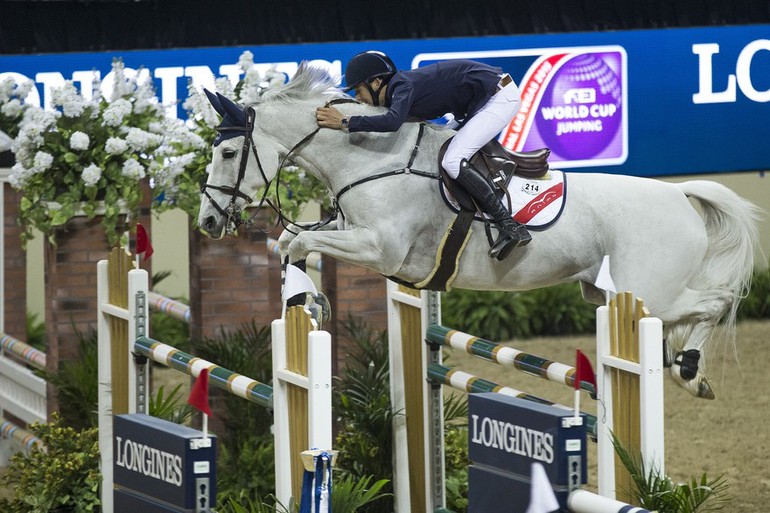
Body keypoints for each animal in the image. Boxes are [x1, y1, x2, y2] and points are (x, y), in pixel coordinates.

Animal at [198, 63, 760, 400]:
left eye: (227, 151)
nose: (207, 221)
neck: (372, 159)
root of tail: (679, 195)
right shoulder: (353, 231)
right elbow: (290, 243)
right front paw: (307, 301)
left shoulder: (382, 249)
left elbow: (301, 240)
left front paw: (310, 301)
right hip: (610, 291)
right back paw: (685, 370)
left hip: (647, 291)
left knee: (714, 301)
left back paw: (691, 372)